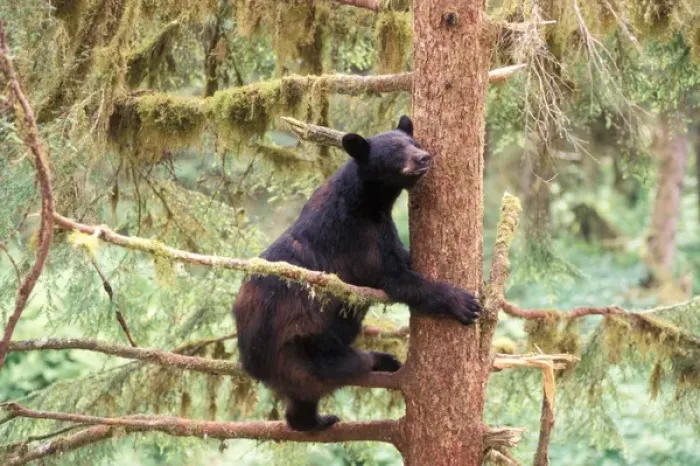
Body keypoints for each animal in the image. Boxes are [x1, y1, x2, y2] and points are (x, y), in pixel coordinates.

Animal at [232, 116, 480, 432]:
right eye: (396, 151)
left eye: (414, 143)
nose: (424, 157)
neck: (366, 201)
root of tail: (252, 361)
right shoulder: (357, 239)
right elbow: (397, 279)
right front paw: (462, 302)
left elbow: (403, 257)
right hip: (302, 344)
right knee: (339, 365)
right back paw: (379, 361)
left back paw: (315, 420)